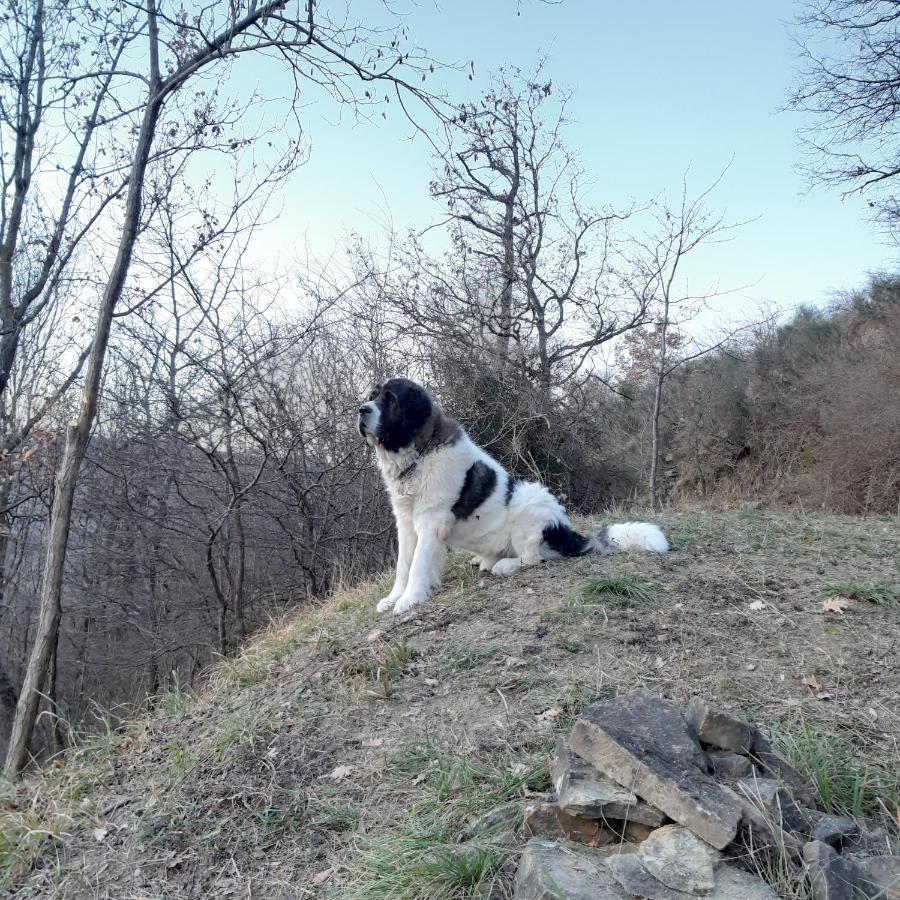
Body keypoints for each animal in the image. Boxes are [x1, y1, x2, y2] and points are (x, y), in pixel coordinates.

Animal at [360, 376, 668, 616]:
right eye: (372, 396)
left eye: (390, 400)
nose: (361, 410)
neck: (418, 455)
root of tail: (567, 529)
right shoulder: (405, 521)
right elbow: (403, 564)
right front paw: (393, 598)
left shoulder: (430, 520)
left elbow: (418, 565)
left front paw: (409, 600)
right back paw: (485, 561)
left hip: (528, 504)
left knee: (535, 557)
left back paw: (504, 565)